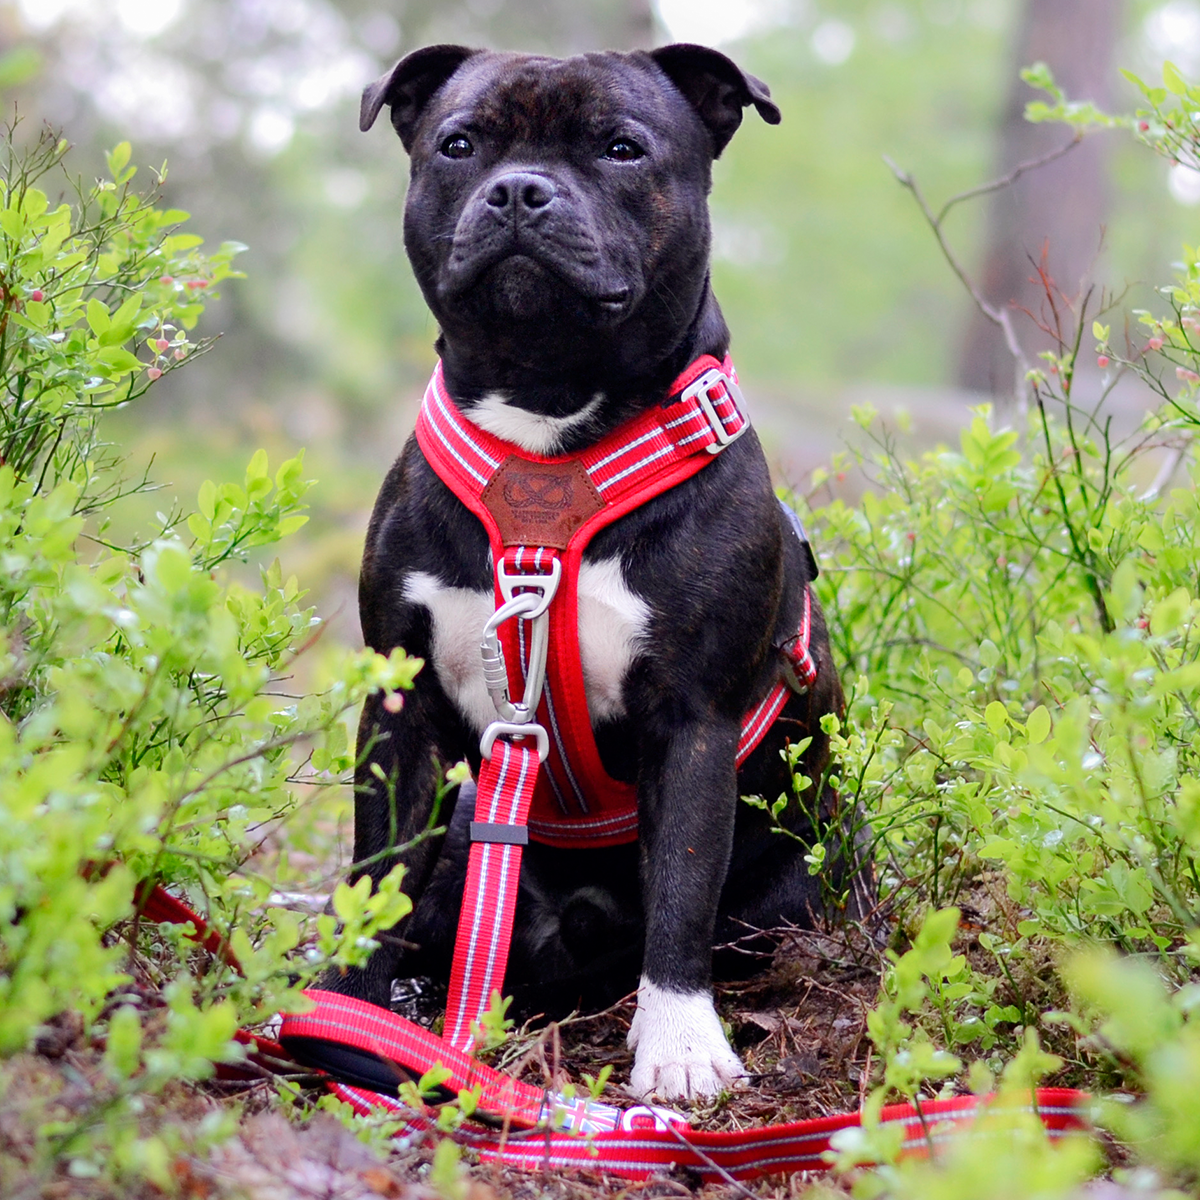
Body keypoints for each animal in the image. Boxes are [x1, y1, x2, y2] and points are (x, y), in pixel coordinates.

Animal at [328, 44, 868, 1099]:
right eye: (459, 144)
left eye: (622, 148)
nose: (519, 191)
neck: (547, 439)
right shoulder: (398, 709)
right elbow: (376, 871)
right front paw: (338, 1010)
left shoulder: (691, 720)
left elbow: (682, 894)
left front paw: (682, 1046)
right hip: (471, 829)